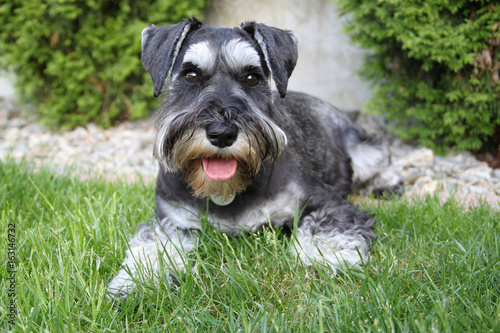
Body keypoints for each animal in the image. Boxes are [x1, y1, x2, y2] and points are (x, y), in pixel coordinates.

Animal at [106, 16, 402, 298]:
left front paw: (331, 258)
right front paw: (134, 282)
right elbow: (152, 245)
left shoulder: (324, 201)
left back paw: (385, 184)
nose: (222, 133)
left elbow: (325, 230)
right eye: (191, 75)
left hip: (358, 148)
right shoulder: (171, 220)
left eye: (252, 78)